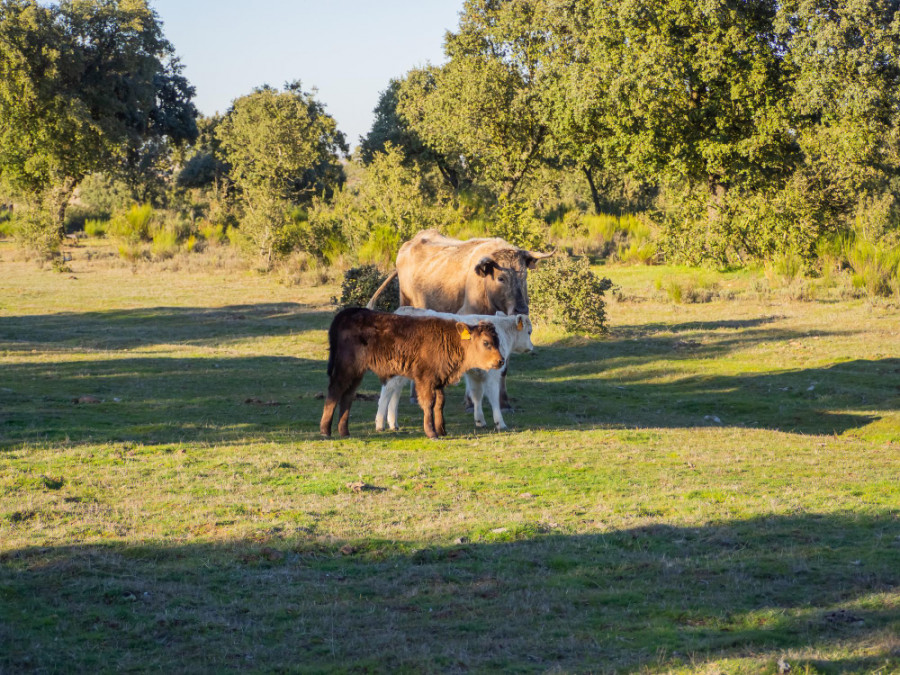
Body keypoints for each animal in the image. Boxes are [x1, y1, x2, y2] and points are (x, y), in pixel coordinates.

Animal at [322, 308, 506, 440]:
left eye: (497, 341)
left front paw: (442, 430)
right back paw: (325, 430)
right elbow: (428, 403)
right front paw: (431, 432)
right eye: (486, 342)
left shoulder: (438, 379)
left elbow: (440, 403)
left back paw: (344, 431)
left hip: (356, 372)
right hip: (345, 368)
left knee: (347, 395)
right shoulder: (425, 379)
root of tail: (348, 312)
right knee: (335, 391)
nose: (501, 361)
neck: (448, 340)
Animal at [374, 308, 536, 430]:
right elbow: (493, 397)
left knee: (395, 392)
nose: (531, 347)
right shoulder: (492, 373)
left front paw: (480, 420)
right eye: (529, 332)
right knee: (387, 390)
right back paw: (380, 423)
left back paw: (393, 423)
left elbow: (476, 394)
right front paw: (500, 423)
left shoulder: (475, 374)